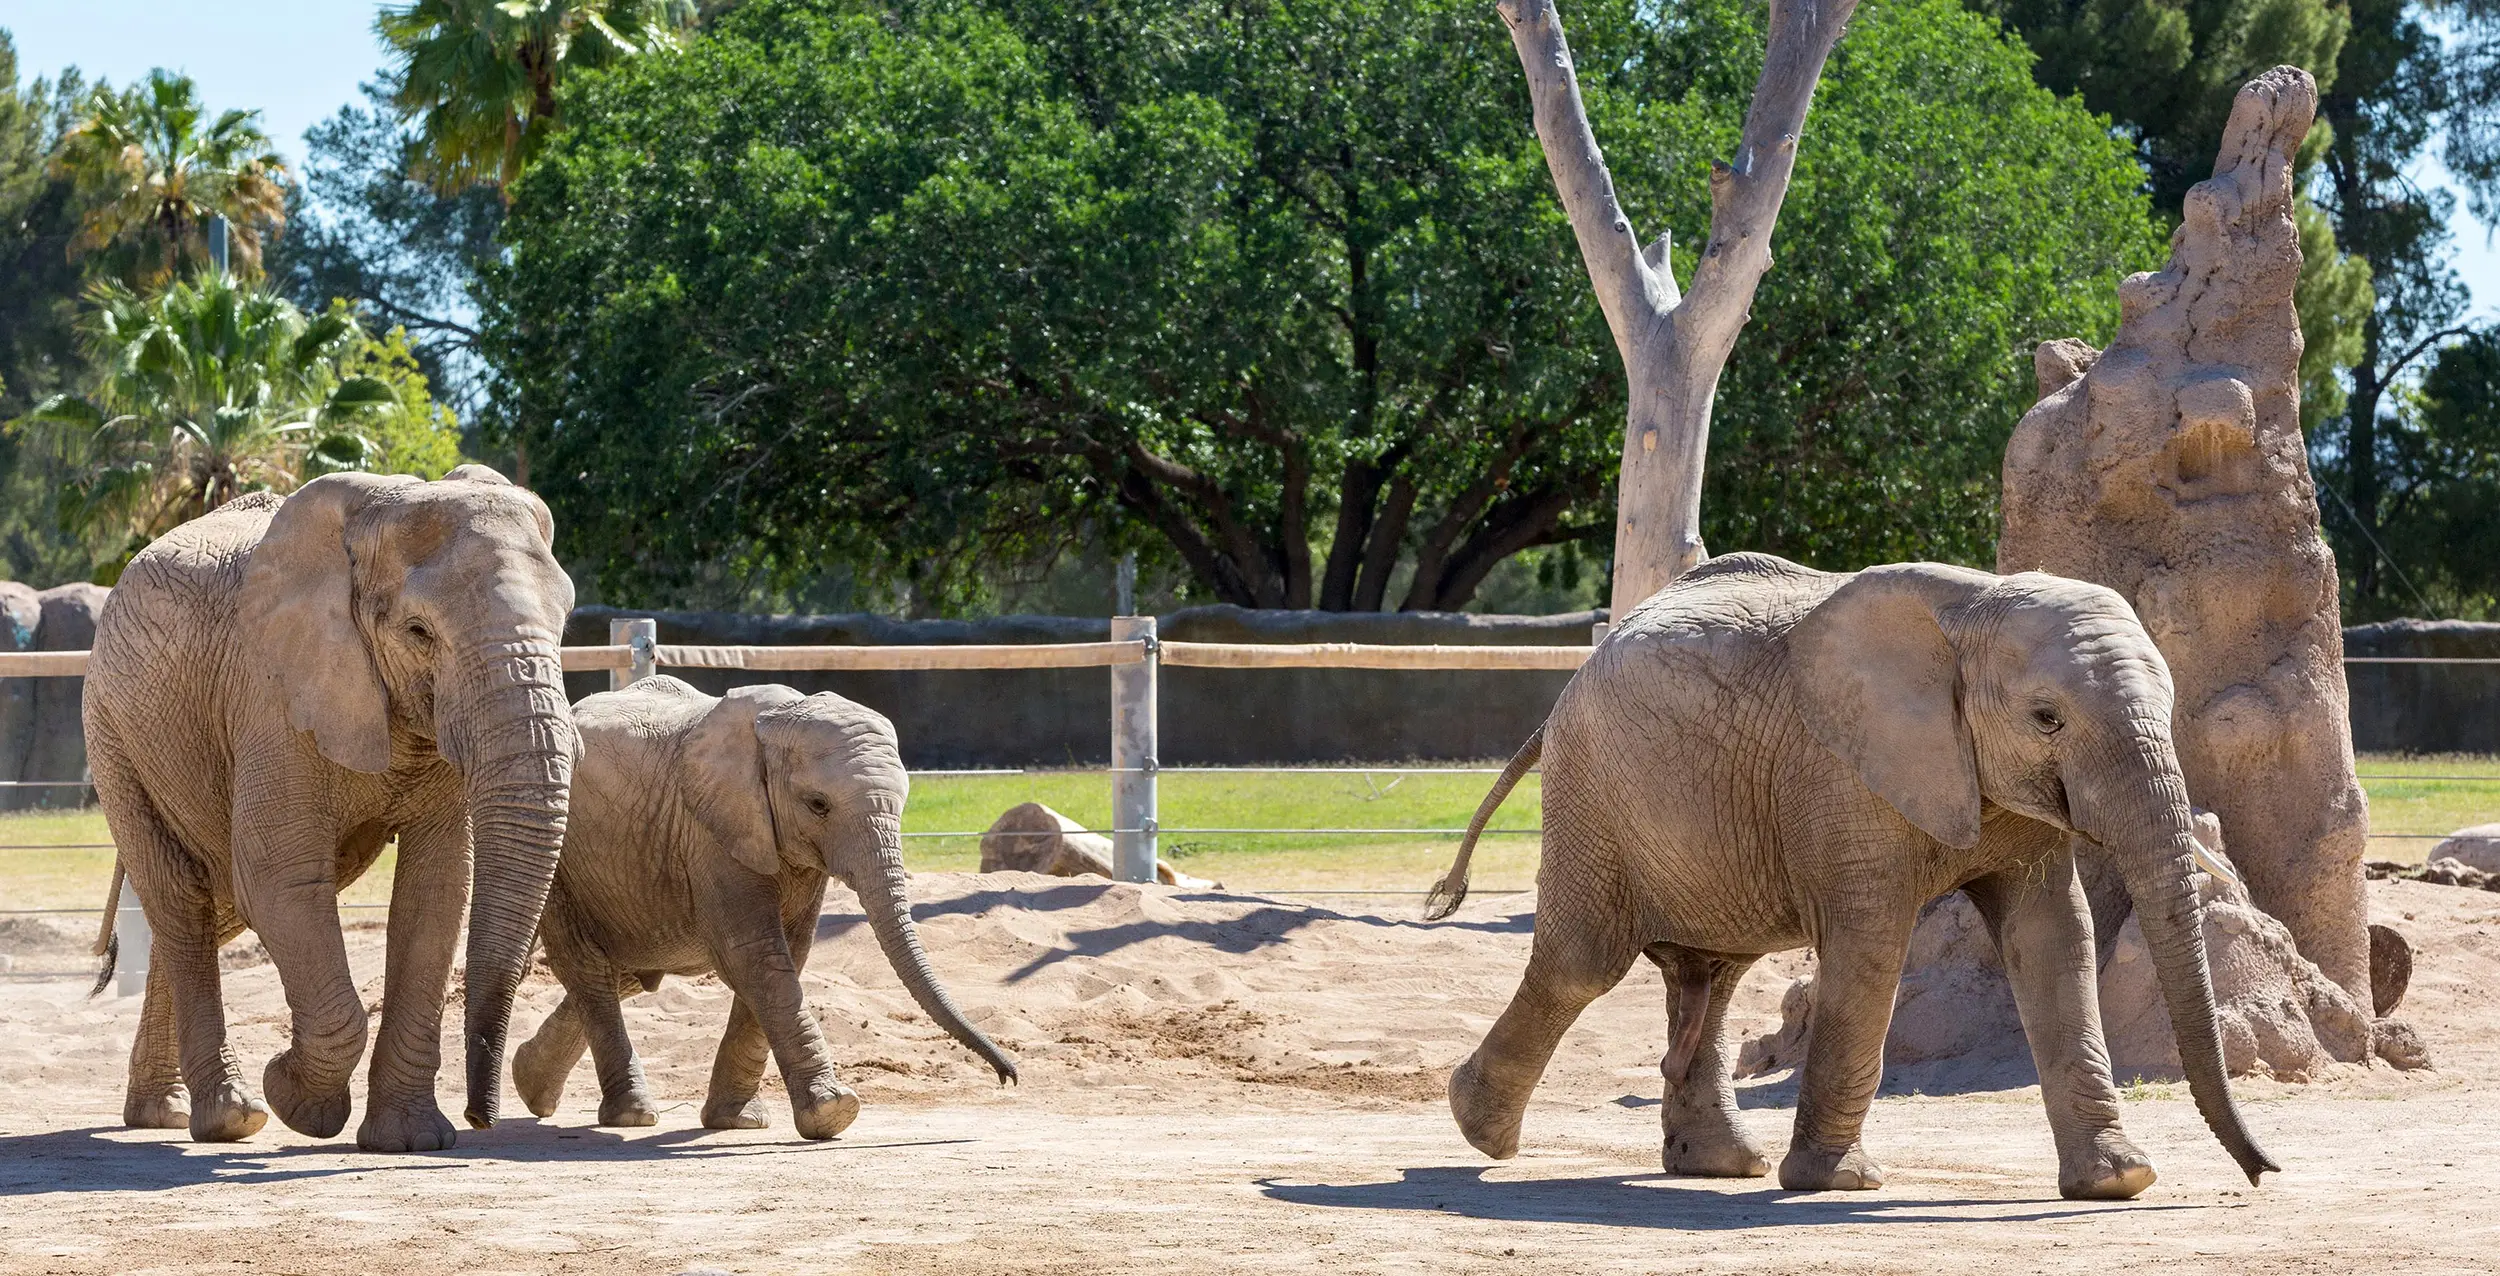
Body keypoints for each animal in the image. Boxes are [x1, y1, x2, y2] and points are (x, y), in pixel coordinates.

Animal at [84, 468, 581, 1152]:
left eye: (566, 623)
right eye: (419, 632)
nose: (484, 1117)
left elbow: (437, 892)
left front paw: (408, 1140)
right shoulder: (270, 698)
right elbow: (281, 881)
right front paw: (296, 1100)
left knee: (210, 905)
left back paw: (162, 1113)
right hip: (114, 735)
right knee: (183, 898)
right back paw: (231, 1116)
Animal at [510, 677, 1016, 1138]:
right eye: (818, 805)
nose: (1008, 1077)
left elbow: (786, 954)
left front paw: (739, 1122)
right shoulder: (713, 833)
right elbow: (756, 956)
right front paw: (833, 1112)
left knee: (627, 971)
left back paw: (530, 1083)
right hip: (561, 860)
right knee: (591, 969)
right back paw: (630, 1115)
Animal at [1425, 552, 2276, 1199]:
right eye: (2047, 718)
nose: (2262, 1173)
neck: (1975, 607)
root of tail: (1579, 670)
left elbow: (2053, 938)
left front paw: (2118, 1181)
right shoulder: (1842, 772)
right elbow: (1870, 943)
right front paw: (1838, 1183)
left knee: (1713, 973)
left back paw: (1721, 1166)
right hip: (1595, 790)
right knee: (1583, 963)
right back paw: (1480, 1129)